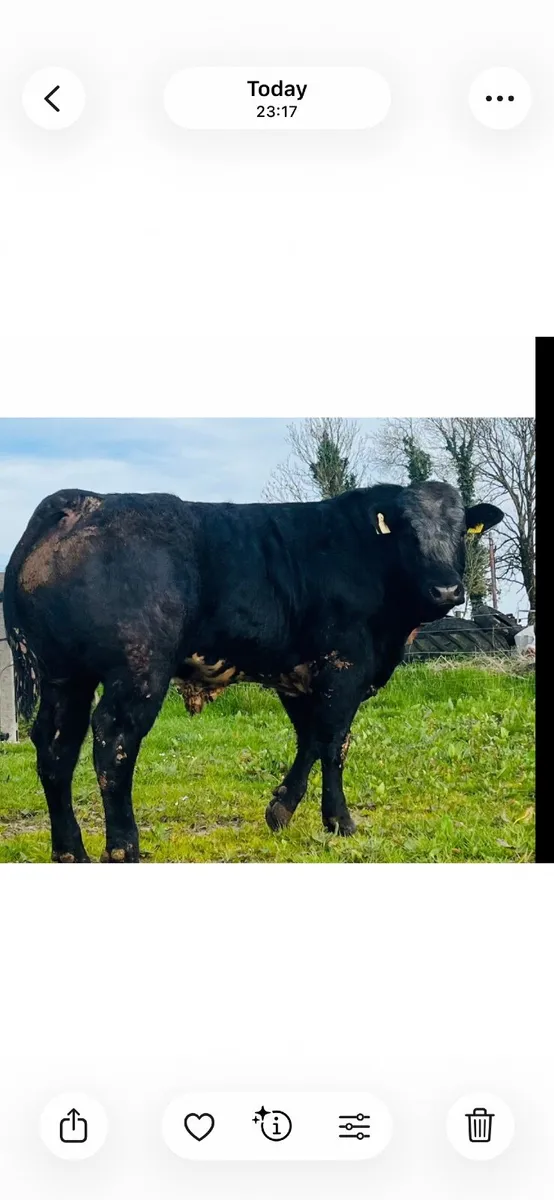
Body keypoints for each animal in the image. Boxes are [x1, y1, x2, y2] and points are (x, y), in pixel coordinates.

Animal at [3, 481, 503, 863]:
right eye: (408, 533)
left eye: (460, 531)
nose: (447, 589)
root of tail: (83, 501)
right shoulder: (344, 667)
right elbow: (334, 742)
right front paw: (336, 820)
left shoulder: (297, 675)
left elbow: (310, 740)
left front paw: (285, 811)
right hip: (138, 670)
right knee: (113, 742)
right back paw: (124, 848)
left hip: (65, 674)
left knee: (56, 747)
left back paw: (70, 851)